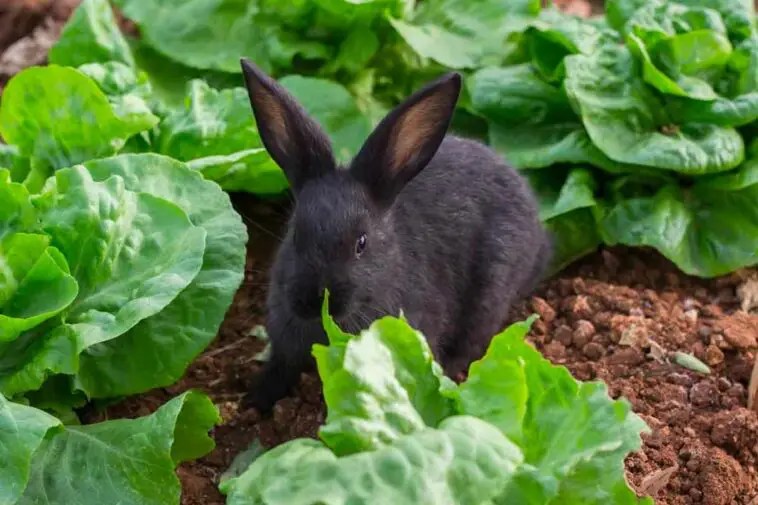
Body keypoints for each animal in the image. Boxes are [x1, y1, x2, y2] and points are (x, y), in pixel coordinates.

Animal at [239, 58, 553, 412]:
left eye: (361, 243)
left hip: (491, 291)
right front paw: (255, 400)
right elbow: (280, 368)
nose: (314, 301)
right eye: (295, 234)